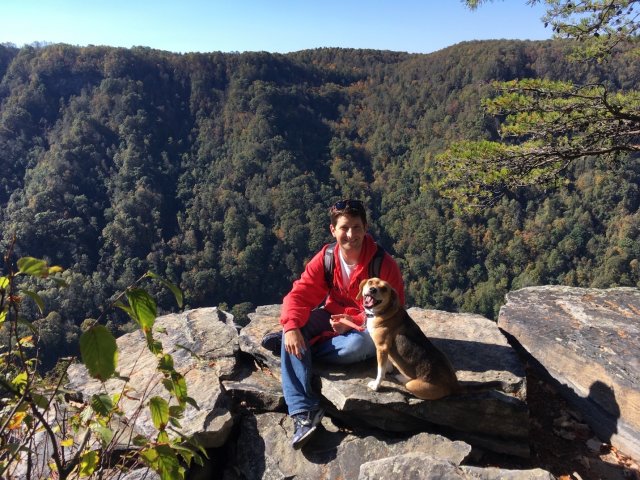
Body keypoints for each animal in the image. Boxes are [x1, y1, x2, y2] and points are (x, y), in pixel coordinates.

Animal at [358, 278, 508, 402]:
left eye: (384, 288)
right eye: (370, 282)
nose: (372, 290)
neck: (384, 312)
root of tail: (454, 385)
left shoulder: (381, 347)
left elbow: (380, 370)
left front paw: (376, 385)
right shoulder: (385, 348)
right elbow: (387, 362)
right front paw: (389, 368)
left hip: (414, 385)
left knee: (409, 386)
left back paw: (402, 378)